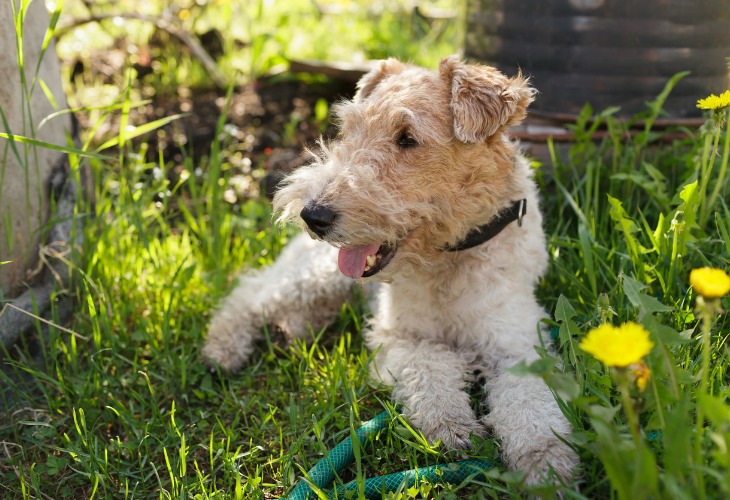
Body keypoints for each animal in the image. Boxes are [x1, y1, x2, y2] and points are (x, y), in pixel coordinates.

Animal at [202, 55, 576, 484]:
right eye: (348, 129)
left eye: (407, 138)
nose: (313, 215)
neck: (449, 256)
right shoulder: (401, 336)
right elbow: (430, 372)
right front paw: (451, 428)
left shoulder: (519, 344)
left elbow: (532, 407)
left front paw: (547, 464)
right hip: (314, 277)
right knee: (249, 296)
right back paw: (222, 351)